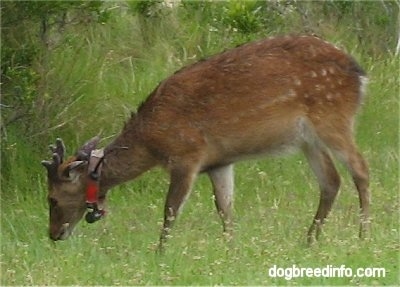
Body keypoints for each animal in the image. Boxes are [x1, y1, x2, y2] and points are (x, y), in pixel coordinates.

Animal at [42, 34, 370, 250]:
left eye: (52, 198)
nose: (53, 234)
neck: (152, 142)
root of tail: (360, 73)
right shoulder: (219, 162)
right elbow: (225, 208)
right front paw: (230, 249)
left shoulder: (187, 155)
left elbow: (170, 210)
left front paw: (161, 252)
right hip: (308, 140)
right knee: (331, 180)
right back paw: (309, 240)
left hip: (333, 118)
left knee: (361, 170)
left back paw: (363, 236)